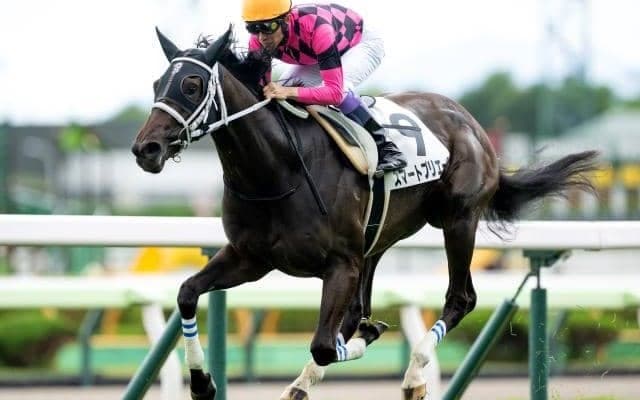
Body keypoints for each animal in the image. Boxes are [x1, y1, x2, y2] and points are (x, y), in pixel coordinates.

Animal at [132, 26, 598, 400]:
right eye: (157, 82)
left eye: (192, 84)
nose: (145, 149)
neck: (278, 169)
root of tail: (471, 123)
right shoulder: (250, 258)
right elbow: (187, 293)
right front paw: (201, 383)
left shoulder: (340, 263)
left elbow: (324, 343)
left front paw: (370, 341)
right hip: (377, 240)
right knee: (360, 307)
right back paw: (306, 381)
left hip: (458, 220)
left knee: (461, 298)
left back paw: (413, 376)